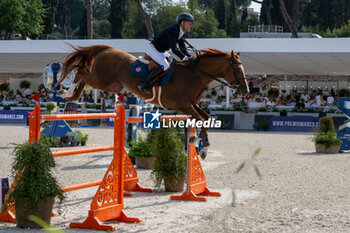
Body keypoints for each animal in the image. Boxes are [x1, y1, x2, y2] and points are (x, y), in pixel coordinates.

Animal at [56, 44, 249, 159]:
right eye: (237, 69)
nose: (245, 91)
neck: (195, 74)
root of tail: (108, 49)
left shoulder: (192, 104)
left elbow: (206, 118)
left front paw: (203, 146)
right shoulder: (183, 105)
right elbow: (201, 119)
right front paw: (200, 144)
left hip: (111, 85)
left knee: (83, 76)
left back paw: (70, 95)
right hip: (100, 80)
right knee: (81, 71)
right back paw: (65, 91)